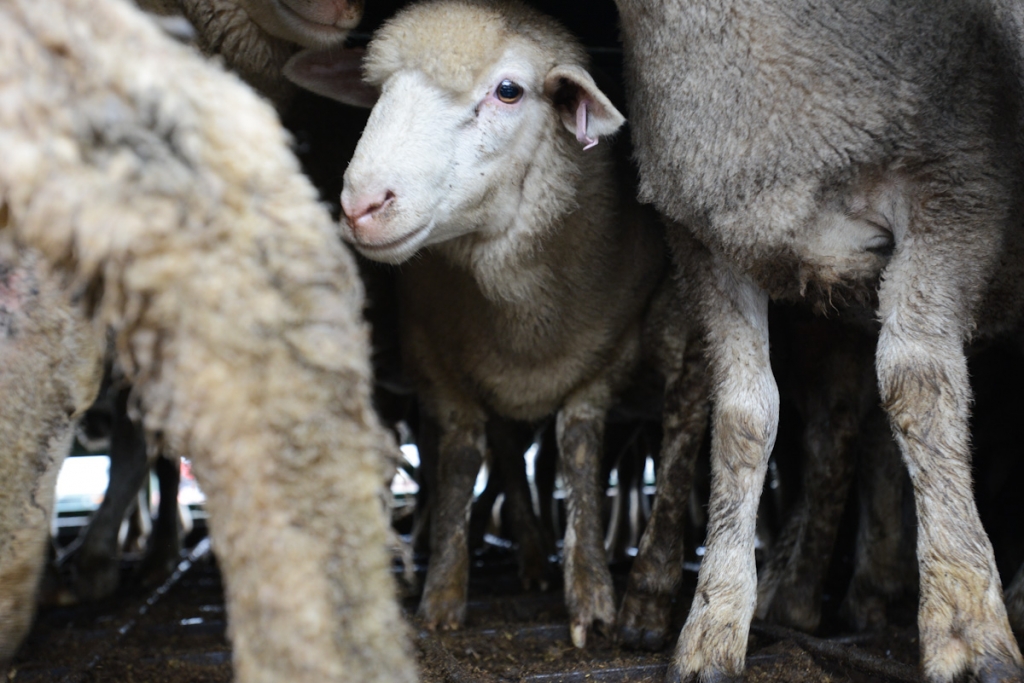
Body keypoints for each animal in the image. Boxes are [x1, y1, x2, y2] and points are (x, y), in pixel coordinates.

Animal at [284, 0, 708, 651]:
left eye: (509, 91)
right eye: (378, 90)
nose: (361, 205)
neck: (525, 319)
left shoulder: (605, 357)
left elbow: (578, 453)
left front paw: (593, 598)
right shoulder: (436, 357)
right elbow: (461, 460)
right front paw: (441, 595)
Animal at [610, 1, 1024, 683]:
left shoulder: (958, 190)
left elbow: (916, 383)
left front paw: (965, 623)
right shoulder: (711, 239)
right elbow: (742, 417)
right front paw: (713, 624)